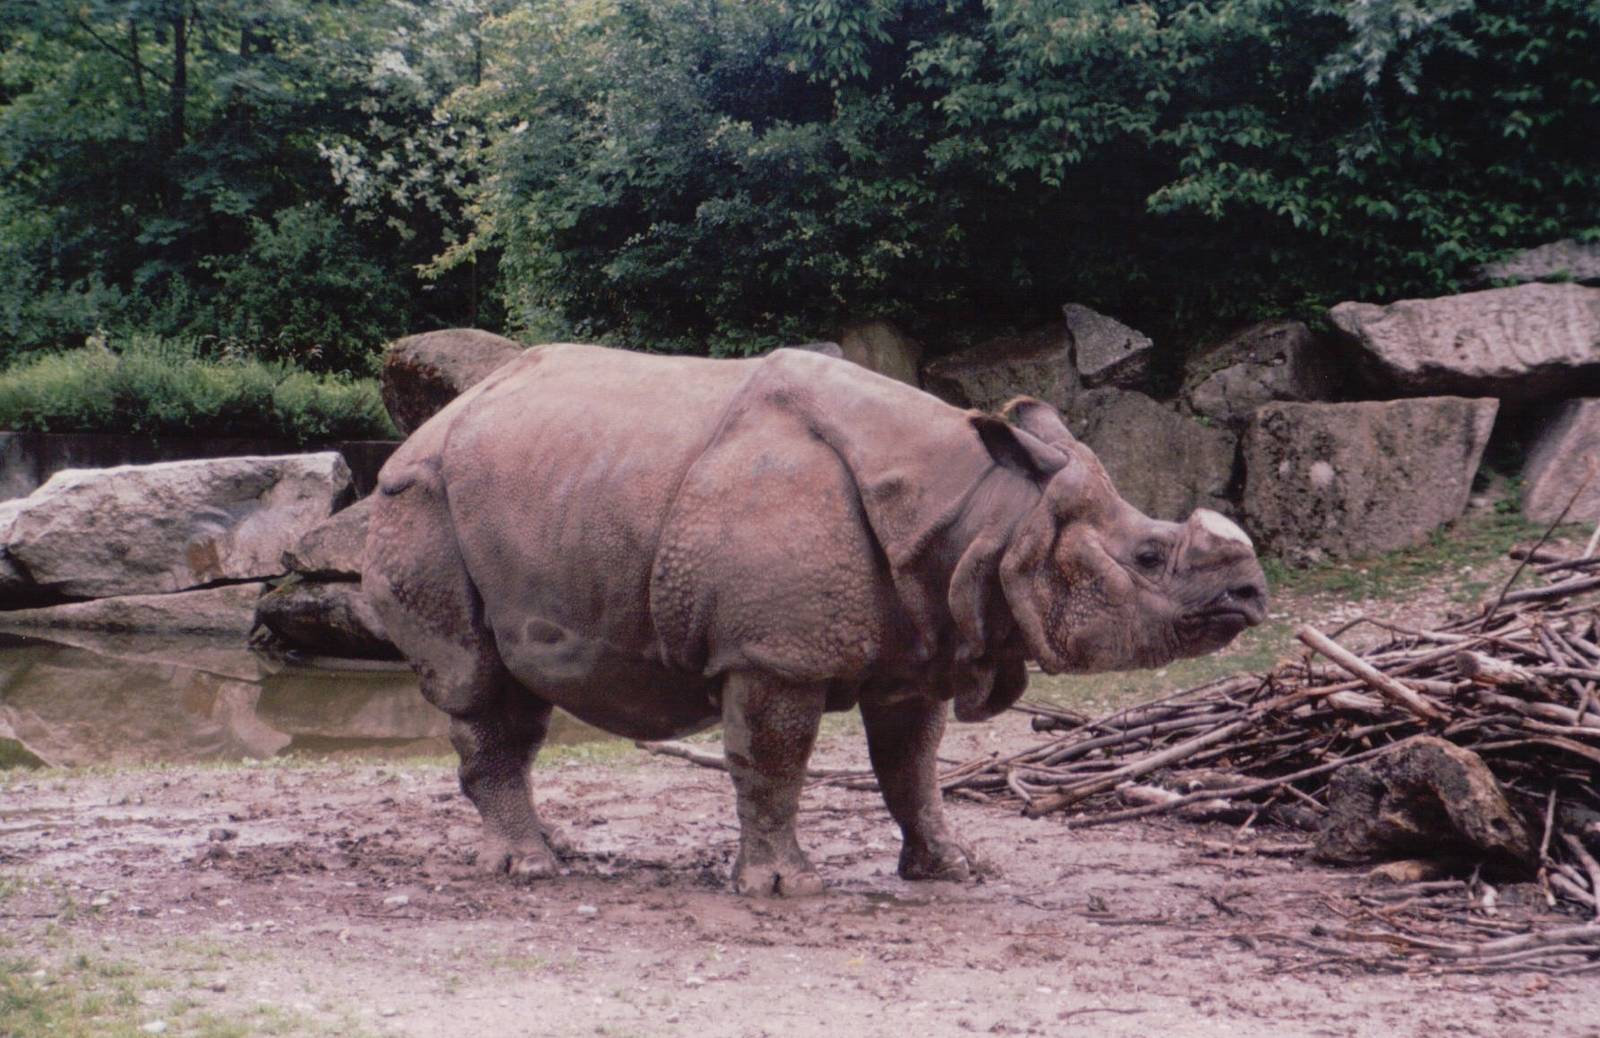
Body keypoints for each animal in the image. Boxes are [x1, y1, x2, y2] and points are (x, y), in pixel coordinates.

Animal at [364, 344, 1267, 895]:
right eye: (1148, 557)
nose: (1253, 595)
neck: (992, 514)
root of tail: (422, 428)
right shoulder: (772, 653)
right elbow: (775, 761)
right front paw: (784, 887)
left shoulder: (922, 641)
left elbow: (912, 768)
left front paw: (954, 868)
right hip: (422, 501)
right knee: (477, 680)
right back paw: (530, 868)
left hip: (531, 491)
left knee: (516, 697)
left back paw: (554, 852)